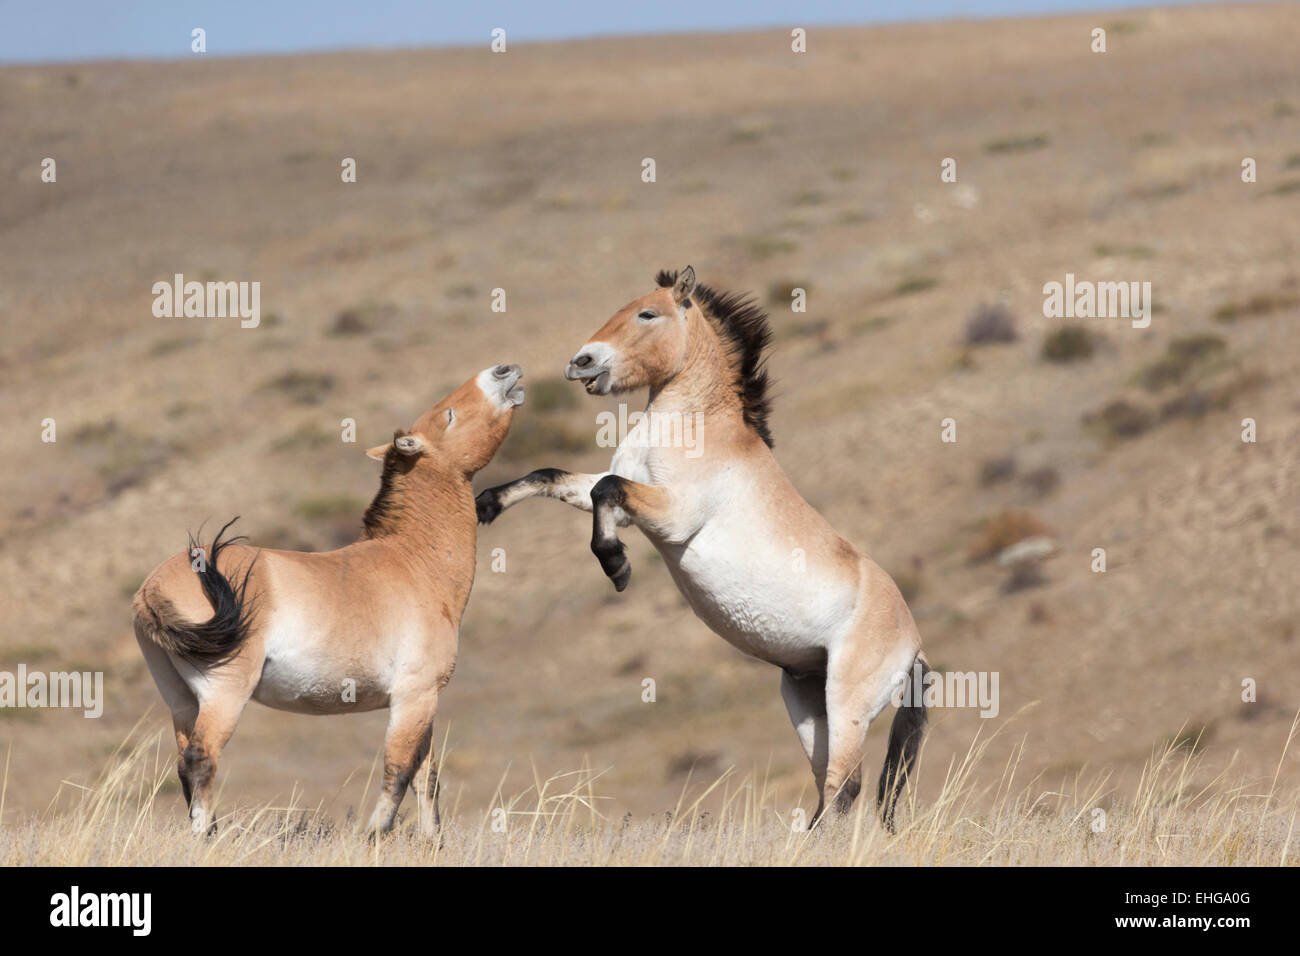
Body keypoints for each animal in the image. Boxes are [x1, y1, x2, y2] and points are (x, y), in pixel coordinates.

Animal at [133, 363, 525, 836]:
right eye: (448, 414)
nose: (503, 371)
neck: (412, 561)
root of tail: (152, 587)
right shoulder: (414, 697)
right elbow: (398, 771)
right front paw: (374, 835)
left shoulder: (424, 703)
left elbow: (426, 776)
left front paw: (432, 842)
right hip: (224, 695)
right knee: (201, 759)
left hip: (182, 702)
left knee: (184, 764)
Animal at [476, 268, 929, 829]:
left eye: (648, 314)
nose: (581, 362)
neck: (695, 427)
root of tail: (914, 647)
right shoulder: (626, 502)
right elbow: (556, 476)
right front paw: (487, 504)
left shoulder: (672, 515)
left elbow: (606, 488)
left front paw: (617, 566)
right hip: (806, 700)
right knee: (830, 787)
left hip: (847, 703)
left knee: (845, 787)